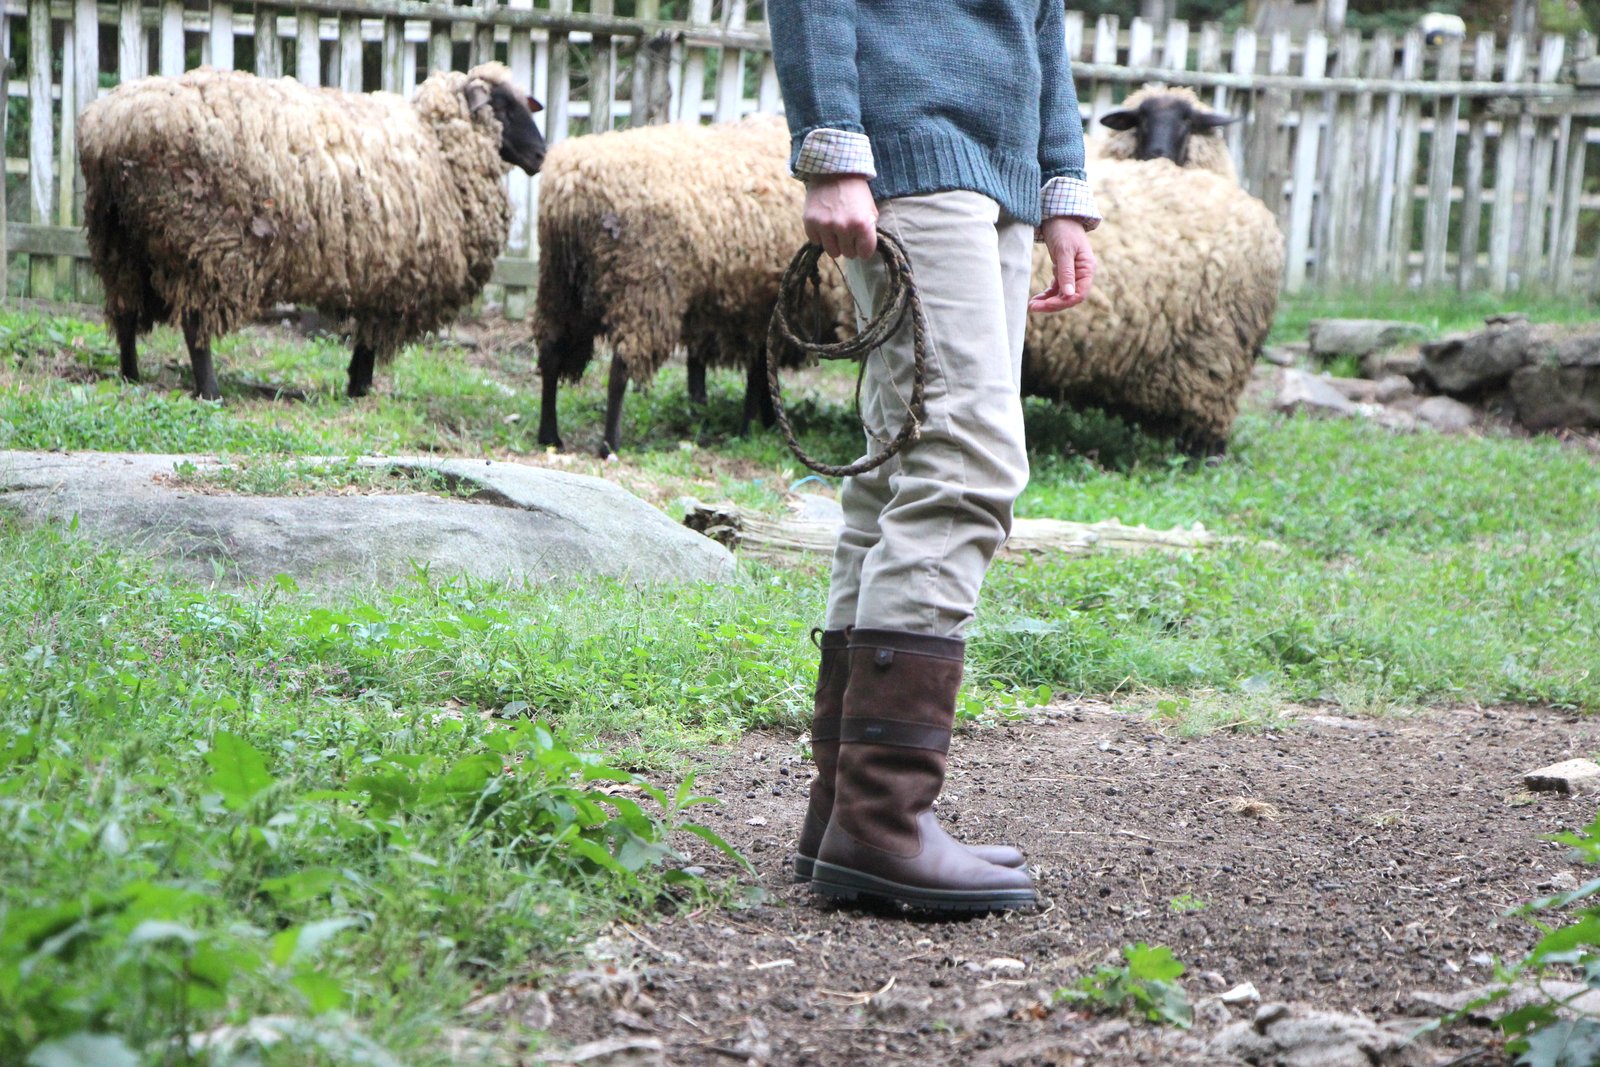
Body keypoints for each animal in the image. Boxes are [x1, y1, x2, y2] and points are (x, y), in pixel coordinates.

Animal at [78, 63, 547, 404]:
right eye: (504, 106)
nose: (541, 155)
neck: (439, 143)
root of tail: (110, 128)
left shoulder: (380, 278)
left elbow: (365, 341)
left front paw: (356, 388)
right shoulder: (396, 281)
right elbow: (368, 342)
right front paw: (360, 390)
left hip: (118, 241)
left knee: (123, 312)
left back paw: (129, 375)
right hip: (205, 244)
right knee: (196, 325)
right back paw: (209, 391)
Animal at [531, 115, 851, 457]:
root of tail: (573, 187)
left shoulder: (761, 307)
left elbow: (761, 371)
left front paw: (762, 422)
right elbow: (758, 374)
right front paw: (754, 426)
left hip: (559, 286)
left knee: (550, 353)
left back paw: (549, 435)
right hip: (642, 289)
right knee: (619, 369)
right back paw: (609, 444)